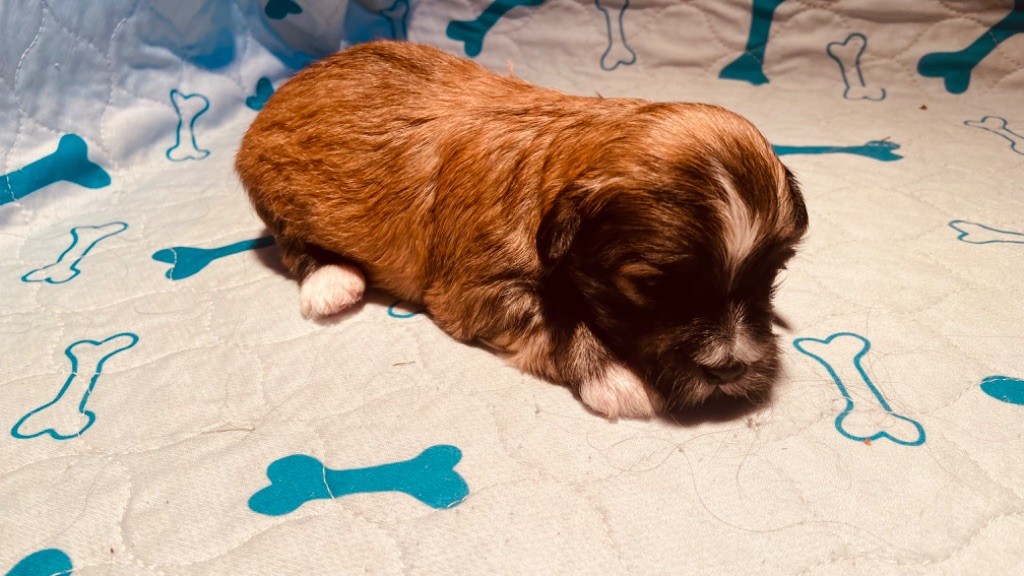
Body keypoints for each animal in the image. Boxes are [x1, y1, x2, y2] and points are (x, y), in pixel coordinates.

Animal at [235, 40, 808, 419]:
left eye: (772, 274)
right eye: (652, 288)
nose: (730, 368)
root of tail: (289, 86)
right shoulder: (476, 289)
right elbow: (556, 318)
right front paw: (615, 380)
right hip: (272, 190)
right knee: (293, 245)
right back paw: (333, 282)